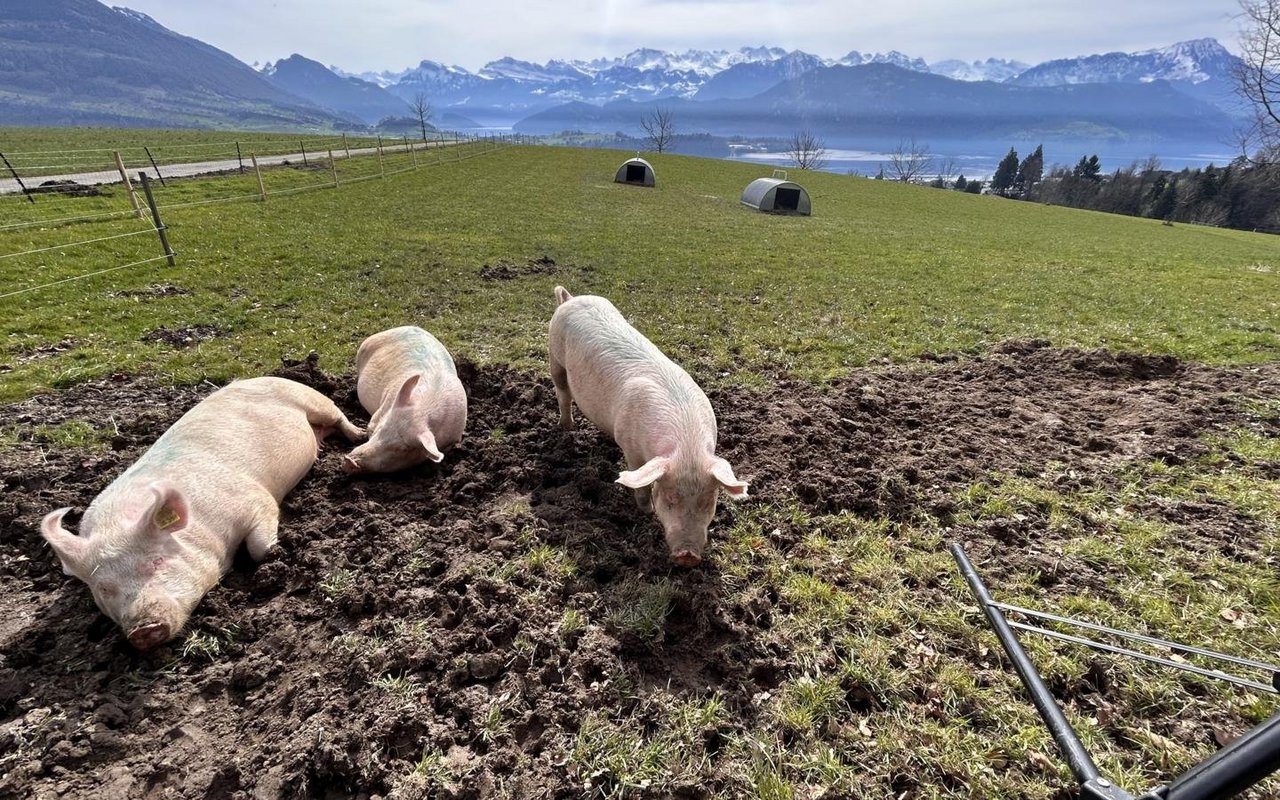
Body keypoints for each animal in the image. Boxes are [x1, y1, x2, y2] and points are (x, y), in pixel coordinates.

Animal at [38, 376, 366, 650]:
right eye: (104, 589)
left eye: (157, 561)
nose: (143, 630)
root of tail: (253, 378)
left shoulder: (255, 499)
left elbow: (260, 547)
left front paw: (276, 553)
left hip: (313, 400)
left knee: (338, 416)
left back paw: (358, 435)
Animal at [343, 325, 468, 473]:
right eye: (380, 429)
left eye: (402, 449)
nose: (349, 461)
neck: (423, 410)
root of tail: (406, 326)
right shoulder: (378, 415)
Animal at [545, 284, 747, 565]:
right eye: (669, 499)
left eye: (709, 501)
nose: (688, 555)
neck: (686, 445)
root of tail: (570, 299)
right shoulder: (631, 447)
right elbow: (639, 484)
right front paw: (646, 512)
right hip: (554, 357)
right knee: (562, 393)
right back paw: (566, 428)